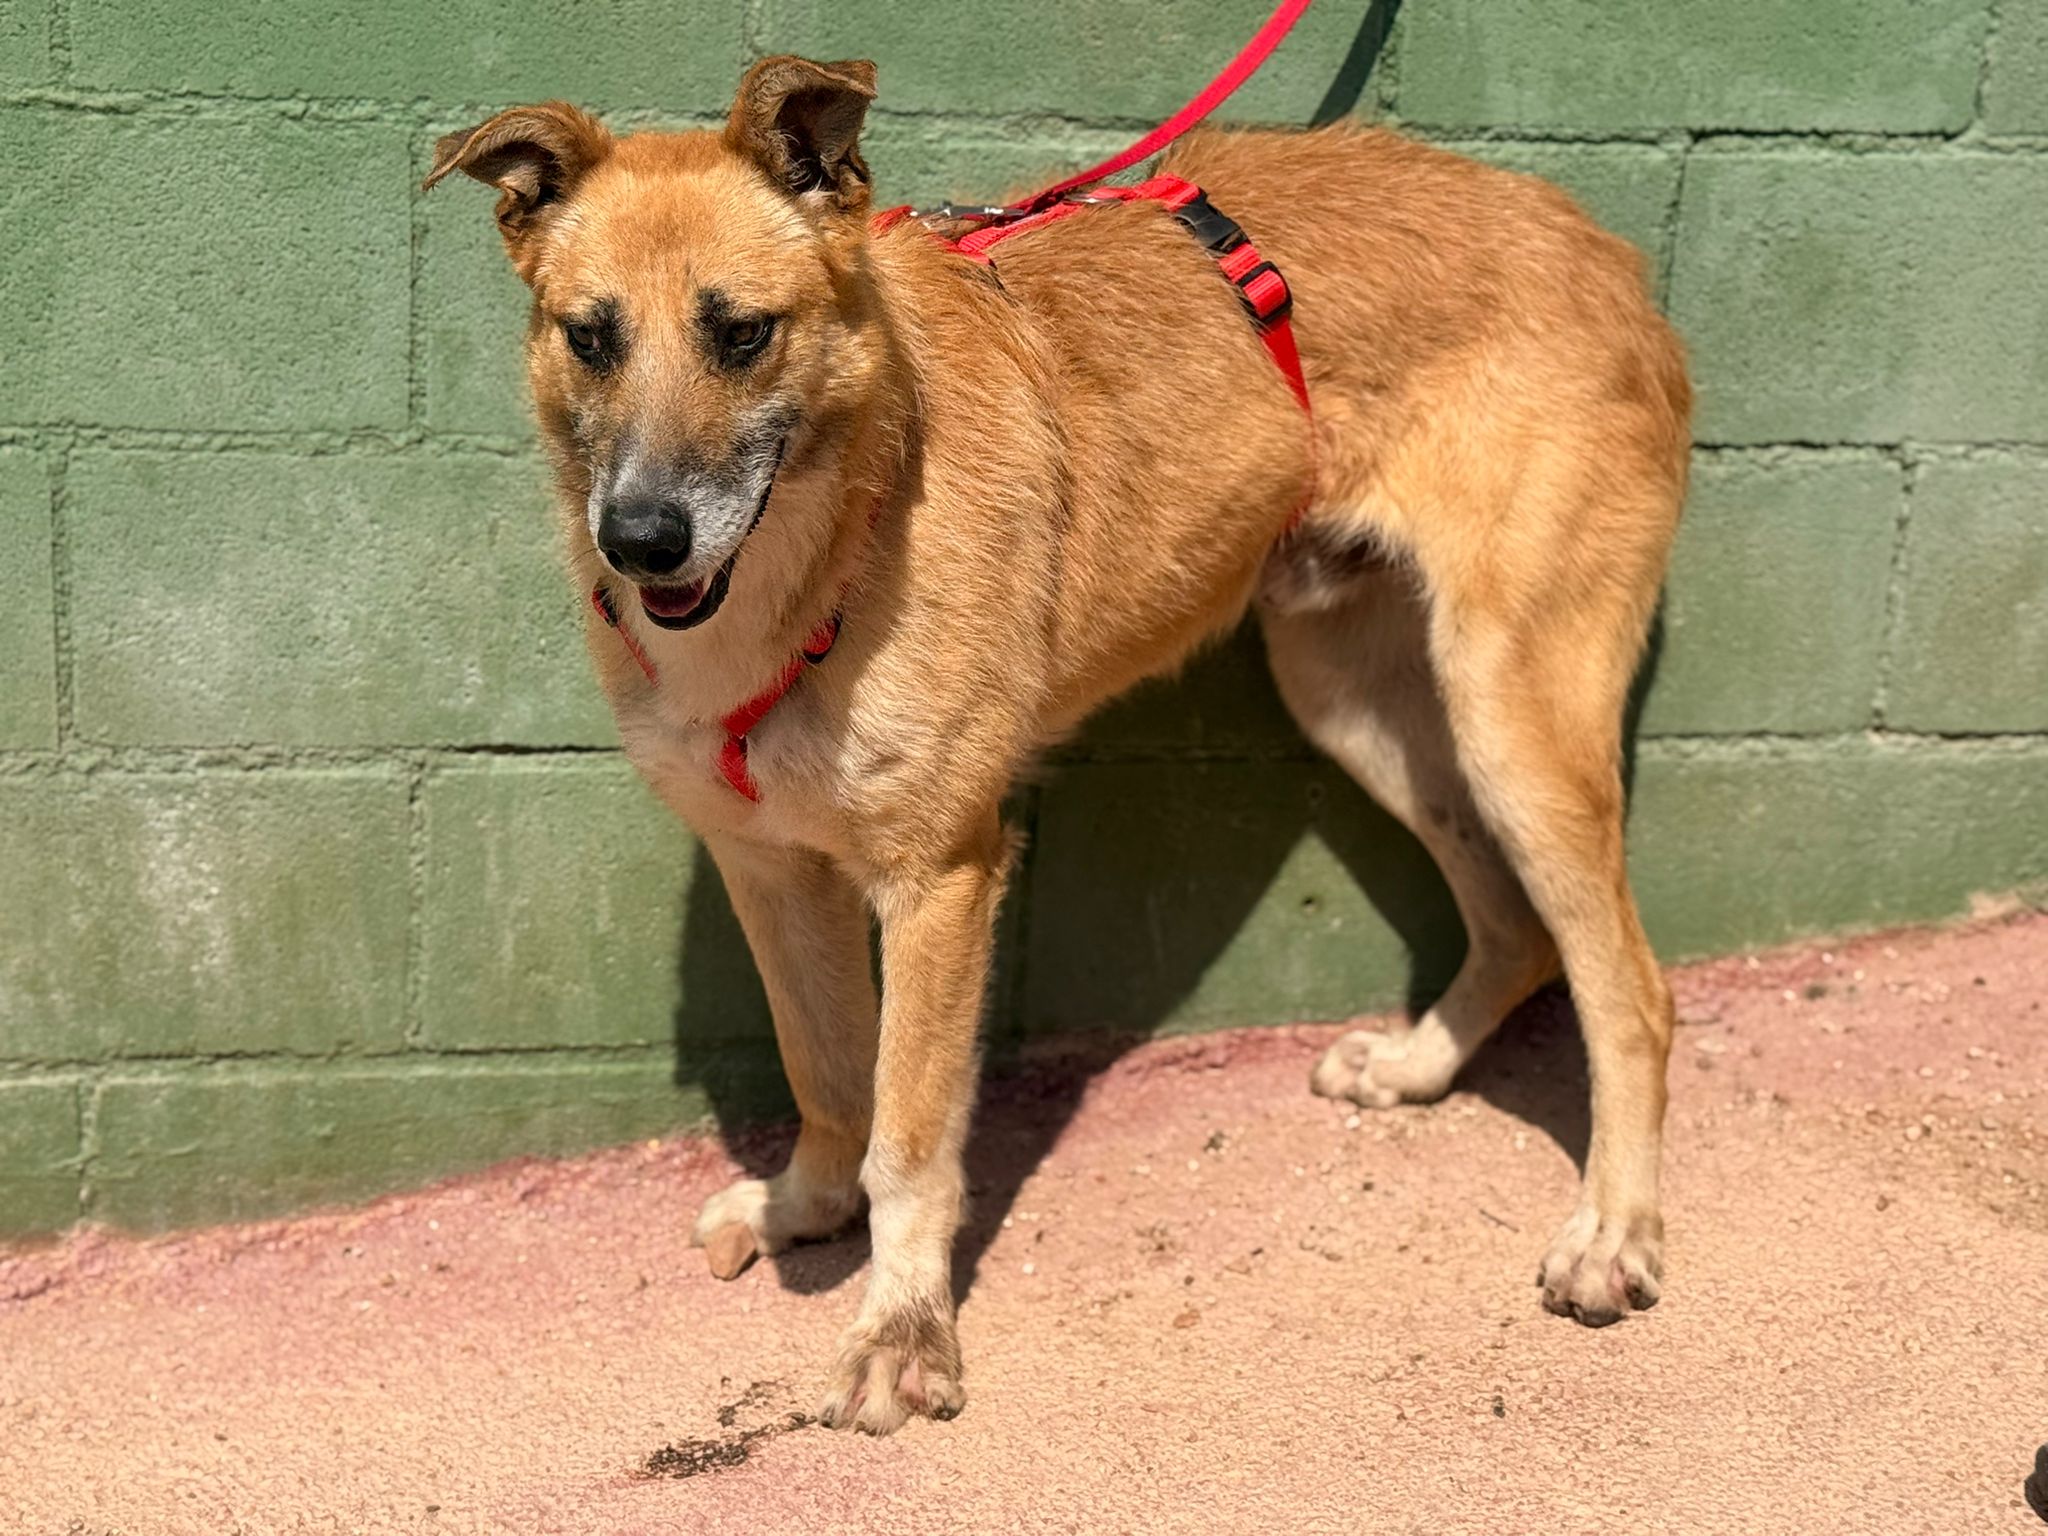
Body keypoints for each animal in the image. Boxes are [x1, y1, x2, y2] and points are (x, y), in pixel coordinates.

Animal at [424, 53, 1690, 1434]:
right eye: (589, 337)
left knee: (1630, 990)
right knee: (1516, 932)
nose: (641, 541)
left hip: (1513, 714)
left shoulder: (942, 876)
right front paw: (809, 1208)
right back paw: (1418, 1069)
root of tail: (1605, 248)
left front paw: (902, 1331)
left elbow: (909, 1133)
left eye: (742, 333)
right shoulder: (768, 867)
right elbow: (825, 1072)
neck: (835, 532)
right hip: (1358, 702)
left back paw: (1613, 1231)